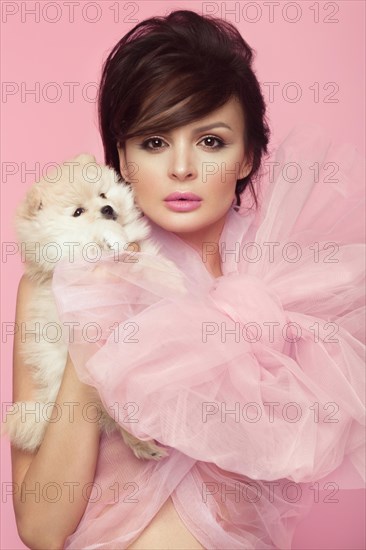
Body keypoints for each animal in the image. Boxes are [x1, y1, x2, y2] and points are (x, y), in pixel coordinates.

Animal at [2, 153, 176, 464]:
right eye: (78, 212)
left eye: (103, 195)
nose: (107, 209)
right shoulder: (69, 257)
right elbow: (96, 236)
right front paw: (111, 235)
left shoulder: (142, 250)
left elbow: (154, 264)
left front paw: (175, 281)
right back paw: (144, 443)